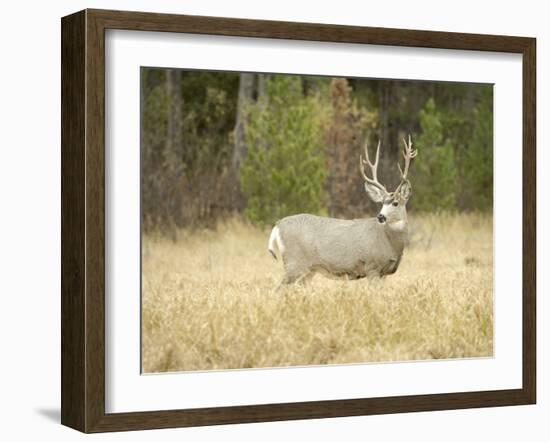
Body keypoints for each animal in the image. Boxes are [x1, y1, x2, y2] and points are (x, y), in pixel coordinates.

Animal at [268, 135, 418, 288]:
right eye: (382, 203)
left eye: (395, 203)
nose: (380, 216)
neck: (391, 243)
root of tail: (278, 225)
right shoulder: (372, 266)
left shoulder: (384, 273)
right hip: (294, 262)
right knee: (278, 289)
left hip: (308, 270)